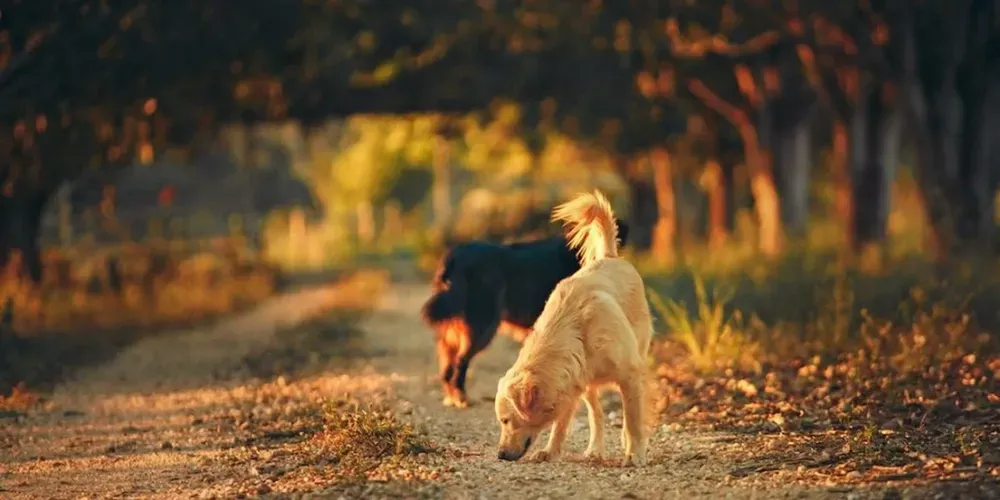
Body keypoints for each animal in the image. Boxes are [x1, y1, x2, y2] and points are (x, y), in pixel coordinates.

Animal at [418, 219, 628, 406]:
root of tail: (456, 253)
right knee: (460, 362)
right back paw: (461, 397)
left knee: (447, 364)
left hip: (456, 329)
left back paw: (452, 396)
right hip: (483, 324)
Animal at [494, 189, 652, 466]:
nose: (500, 455)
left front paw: (635, 452)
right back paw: (595, 450)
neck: (576, 331)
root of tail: (609, 257)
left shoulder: (630, 374)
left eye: (505, 420)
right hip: (587, 385)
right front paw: (551, 451)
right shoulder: (572, 382)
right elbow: (561, 423)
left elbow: (633, 420)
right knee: (597, 415)